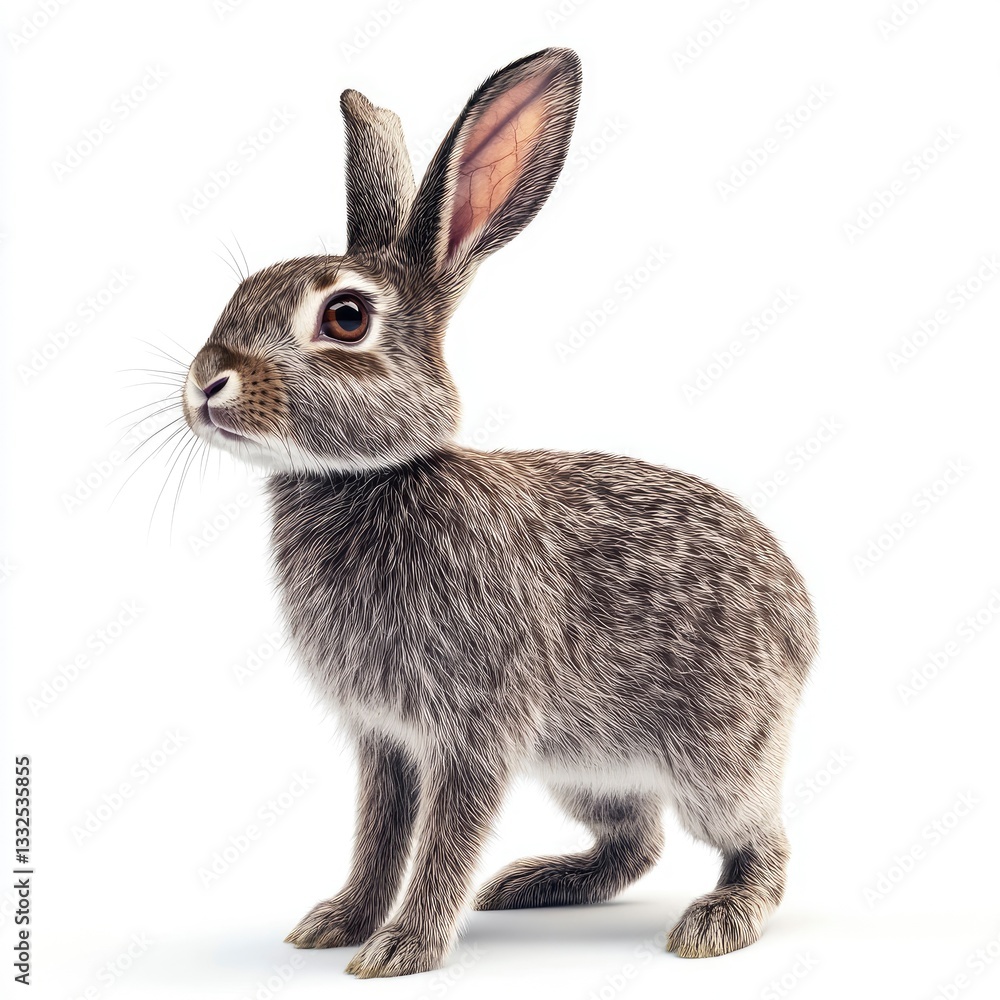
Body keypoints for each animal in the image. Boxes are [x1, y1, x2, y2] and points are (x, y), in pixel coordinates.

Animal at [180, 47, 818, 979]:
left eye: (346, 316)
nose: (206, 382)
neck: (371, 478)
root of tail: (801, 618)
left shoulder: (476, 729)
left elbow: (446, 838)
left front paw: (402, 948)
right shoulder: (386, 740)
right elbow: (378, 835)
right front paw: (339, 922)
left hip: (714, 756)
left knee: (759, 843)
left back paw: (715, 922)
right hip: (585, 767)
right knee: (636, 840)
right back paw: (531, 883)